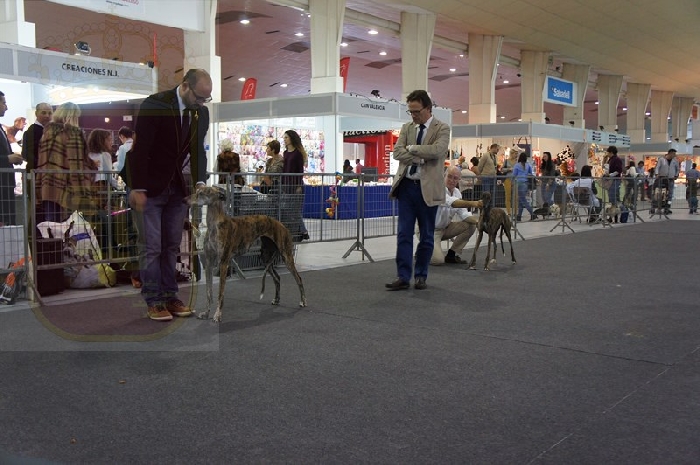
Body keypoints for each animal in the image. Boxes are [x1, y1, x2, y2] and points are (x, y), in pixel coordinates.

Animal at [187, 186, 307, 323]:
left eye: (201, 193)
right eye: (197, 191)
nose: (186, 199)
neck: (215, 225)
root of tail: (282, 225)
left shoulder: (224, 263)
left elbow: (220, 293)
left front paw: (217, 315)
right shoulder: (208, 263)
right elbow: (208, 292)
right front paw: (206, 313)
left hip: (286, 256)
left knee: (298, 278)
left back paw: (303, 301)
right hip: (265, 258)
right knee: (277, 278)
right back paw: (276, 299)